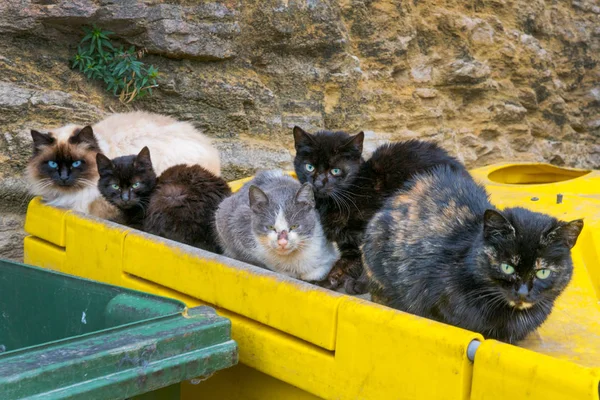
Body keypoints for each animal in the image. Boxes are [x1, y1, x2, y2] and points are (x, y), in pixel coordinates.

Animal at [292, 127, 466, 294]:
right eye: (309, 167)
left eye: (335, 171)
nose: (318, 183)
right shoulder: (348, 243)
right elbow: (343, 263)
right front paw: (326, 281)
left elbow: (367, 261)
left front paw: (361, 284)